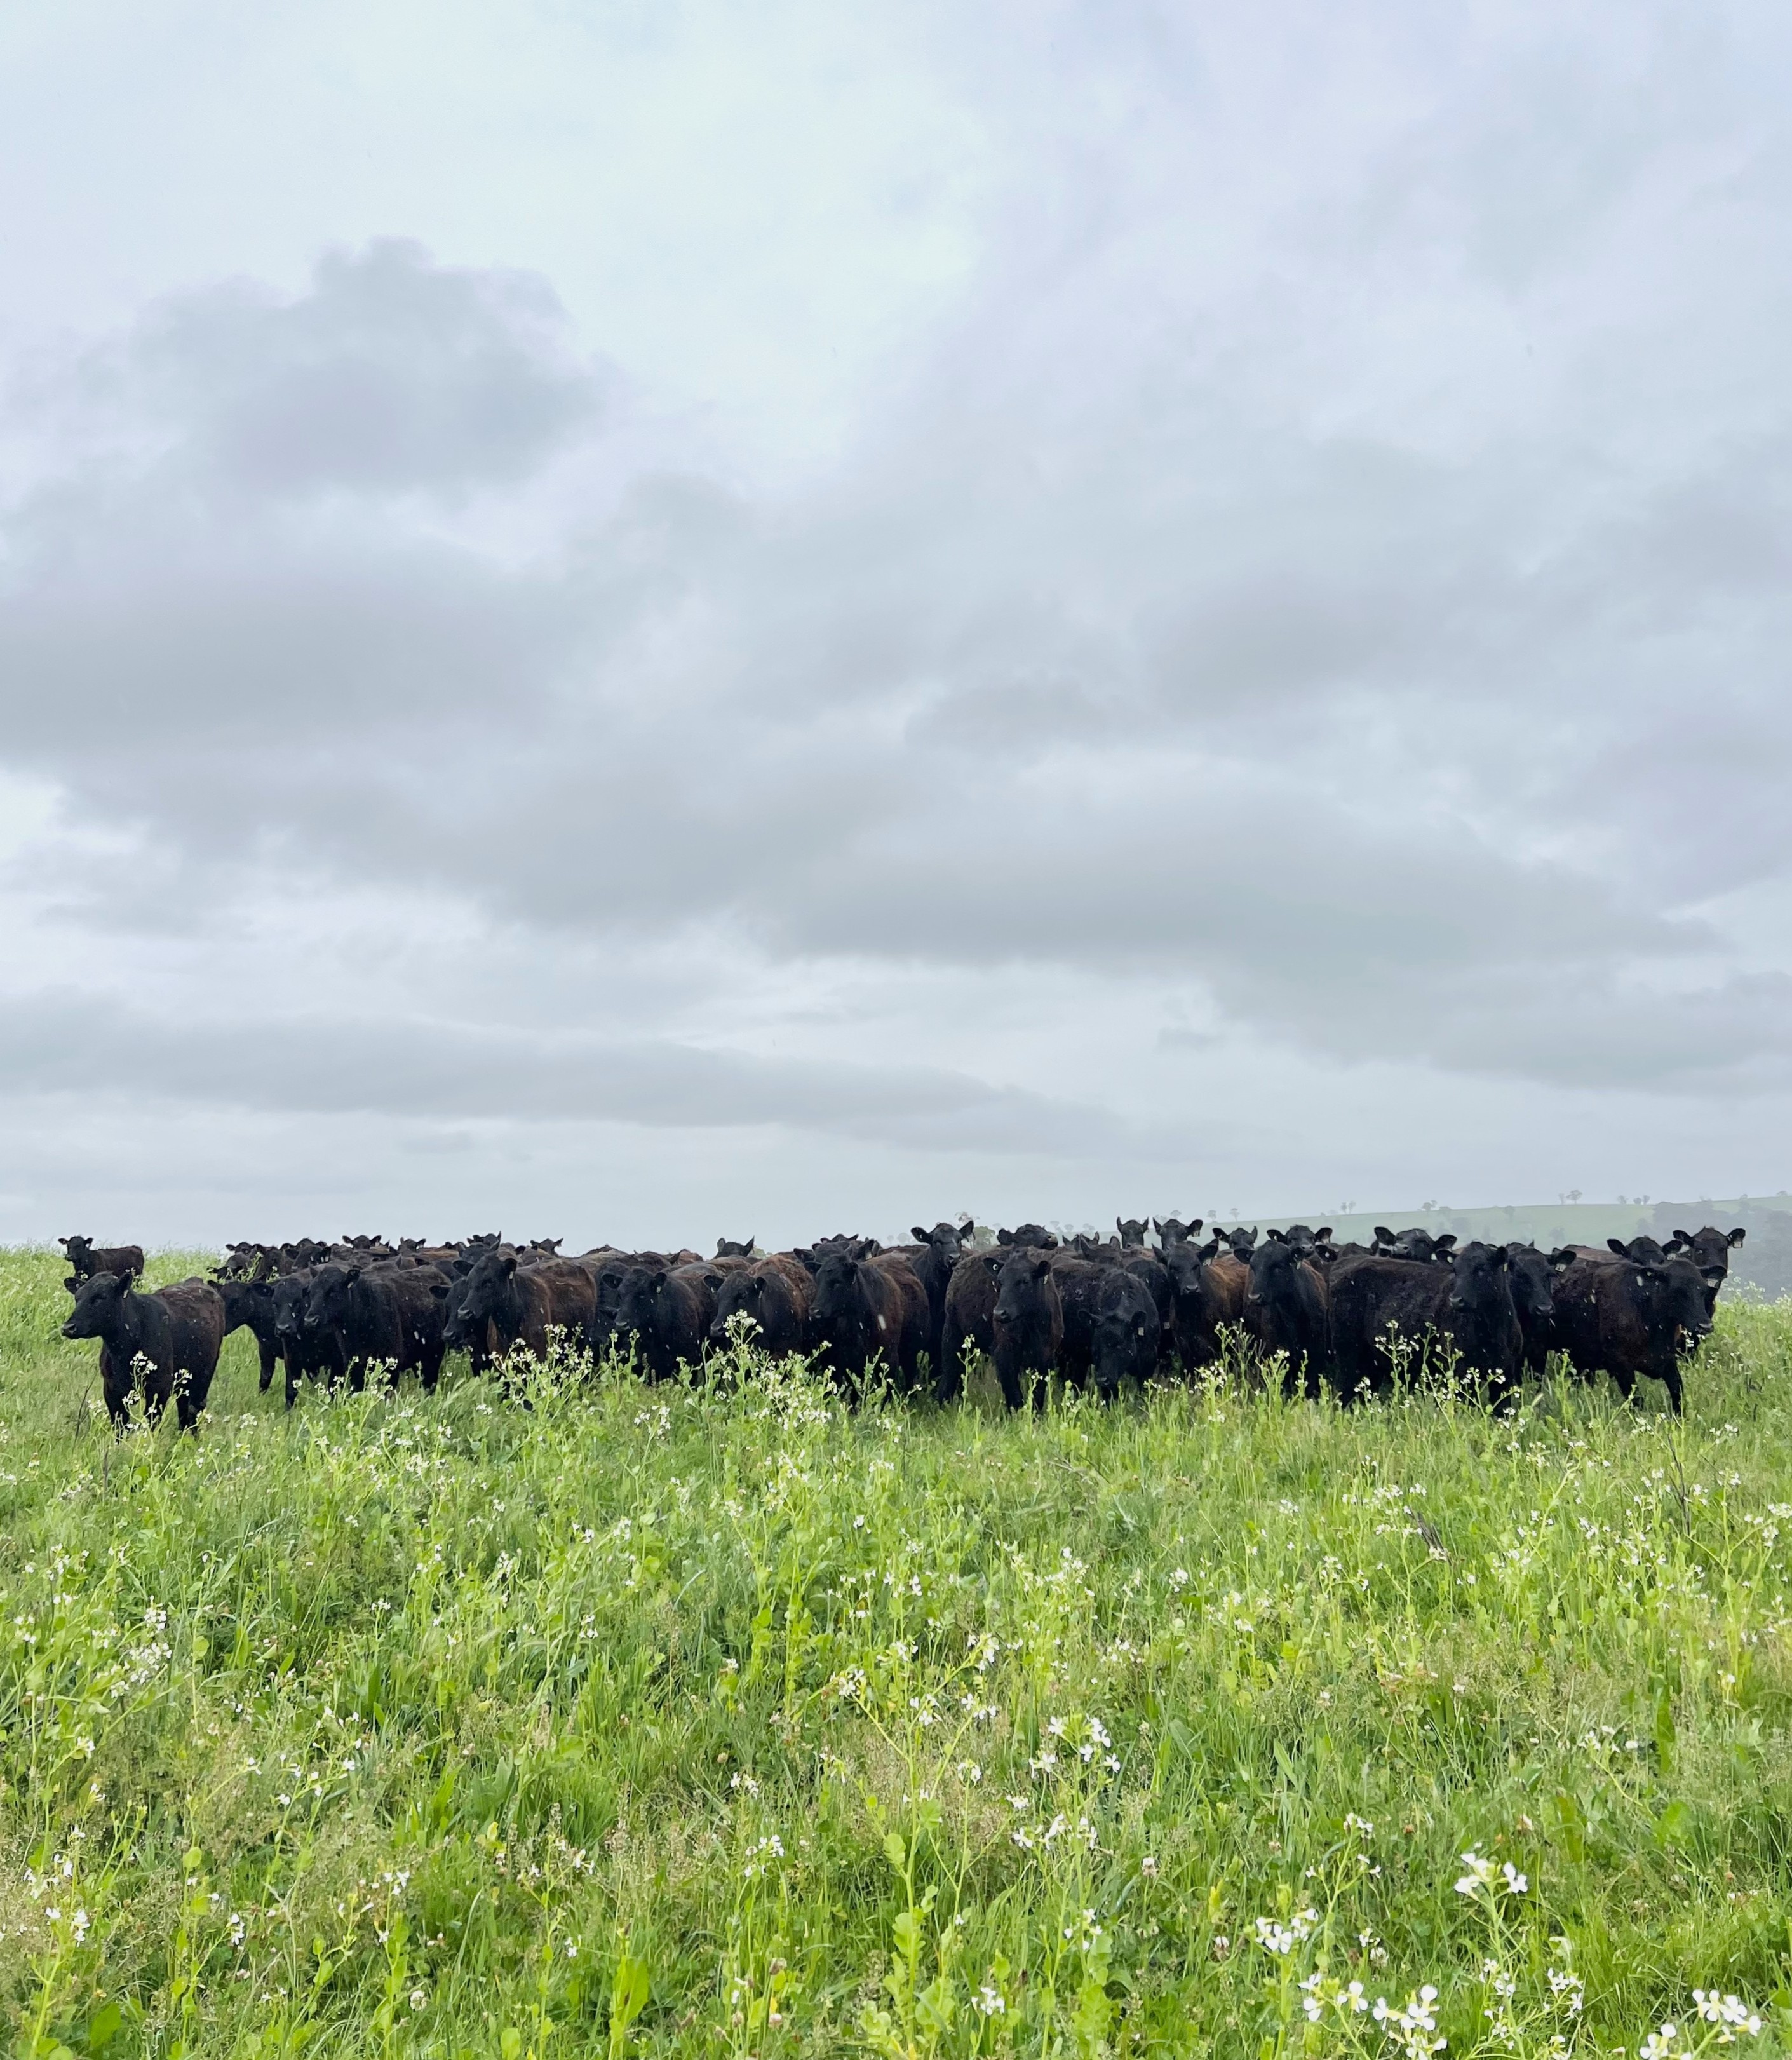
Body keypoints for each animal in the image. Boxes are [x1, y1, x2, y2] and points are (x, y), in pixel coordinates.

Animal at [62, 1271, 226, 1433]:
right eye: (77, 1298)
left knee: (195, 1411)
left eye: (101, 1298)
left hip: (204, 1376)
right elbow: (120, 1426)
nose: (68, 1327)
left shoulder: (159, 1387)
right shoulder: (111, 1389)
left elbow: (152, 1423)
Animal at [301, 1263, 449, 1394]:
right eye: (310, 1292)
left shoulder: (392, 1364)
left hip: (434, 1356)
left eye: (333, 1292)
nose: (310, 1321)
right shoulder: (355, 1365)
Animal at [809, 1245, 928, 1396]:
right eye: (818, 1281)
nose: (815, 1311)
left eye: (838, 1282)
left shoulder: (889, 1358)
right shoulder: (850, 1361)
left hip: (911, 1352)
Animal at [1328, 1242, 1522, 1406]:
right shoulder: (1460, 1371)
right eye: (1456, 1270)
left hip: (1370, 1362)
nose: (1455, 1300)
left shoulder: (1505, 1372)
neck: (1492, 1331)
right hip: (1347, 1353)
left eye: (1482, 1269)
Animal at [1552, 1251, 1714, 1414]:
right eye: (1679, 1291)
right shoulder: (1620, 1363)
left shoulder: (1667, 1357)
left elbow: (1677, 1389)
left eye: (1703, 1291)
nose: (1705, 1326)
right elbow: (1636, 1399)